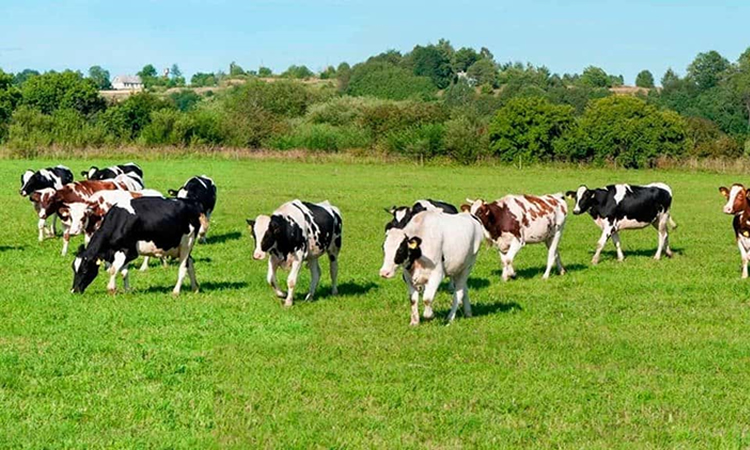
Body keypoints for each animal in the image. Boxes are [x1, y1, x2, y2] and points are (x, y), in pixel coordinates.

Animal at [71, 197, 204, 296]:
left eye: (84, 270)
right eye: (74, 268)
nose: (74, 290)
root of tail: (191, 204)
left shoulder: (128, 251)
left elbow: (114, 270)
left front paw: (111, 289)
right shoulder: (121, 253)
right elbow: (124, 272)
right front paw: (127, 290)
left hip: (187, 243)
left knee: (183, 267)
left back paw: (176, 292)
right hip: (181, 248)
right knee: (190, 263)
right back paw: (195, 288)